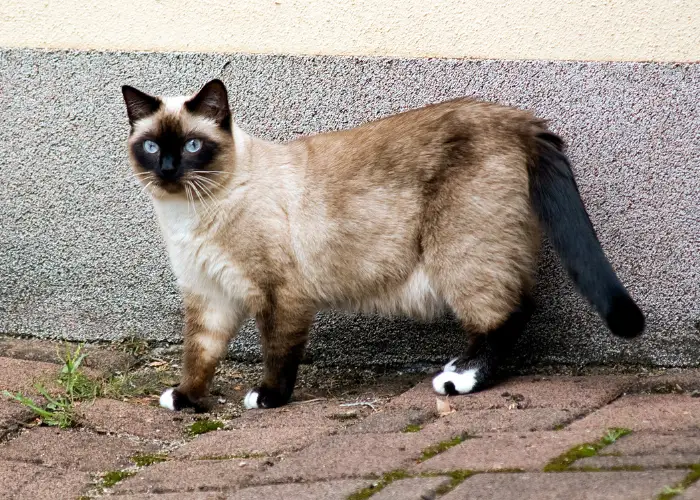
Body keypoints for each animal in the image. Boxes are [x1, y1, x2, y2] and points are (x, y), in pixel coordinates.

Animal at [121, 81, 644, 410]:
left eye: (192, 146)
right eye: (152, 146)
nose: (167, 169)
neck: (189, 213)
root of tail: (516, 120)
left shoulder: (278, 295)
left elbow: (277, 352)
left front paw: (268, 398)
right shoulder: (210, 296)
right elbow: (200, 354)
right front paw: (186, 400)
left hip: (460, 256)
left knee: (508, 316)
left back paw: (459, 379)